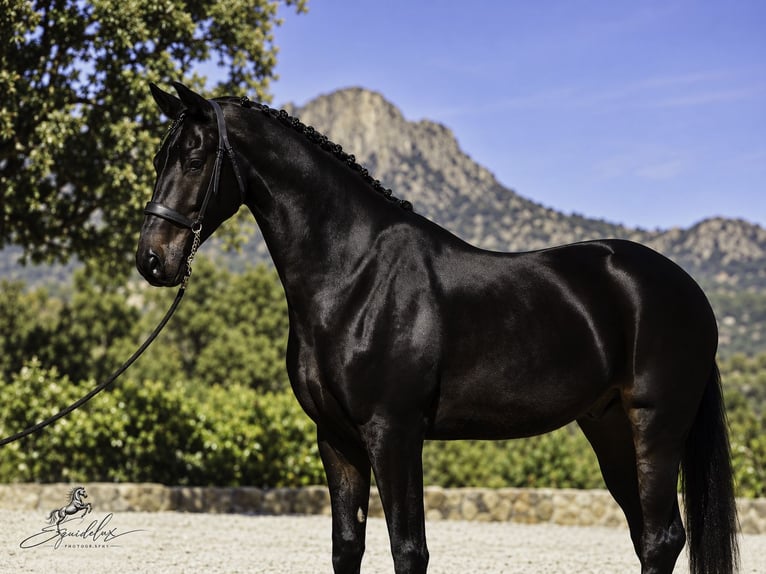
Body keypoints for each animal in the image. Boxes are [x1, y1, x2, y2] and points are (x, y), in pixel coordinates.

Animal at [136, 82, 739, 574]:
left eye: (195, 158)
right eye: (159, 156)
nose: (152, 261)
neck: (355, 273)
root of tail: (687, 290)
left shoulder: (394, 433)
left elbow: (409, 550)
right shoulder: (335, 438)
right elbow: (346, 548)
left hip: (656, 426)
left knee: (662, 537)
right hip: (609, 427)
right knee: (649, 537)